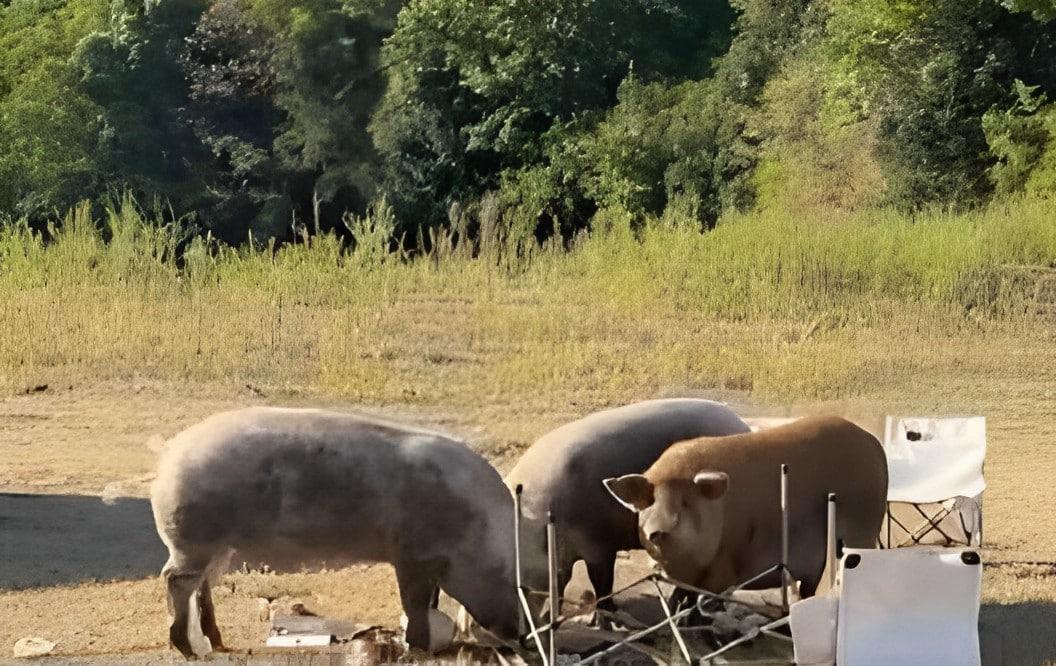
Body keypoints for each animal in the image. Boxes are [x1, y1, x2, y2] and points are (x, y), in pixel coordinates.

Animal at [151, 409, 521, 658]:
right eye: (512, 583)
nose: (520, 637)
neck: (473, 532)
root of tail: (170, 454)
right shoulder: (412, 555)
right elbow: (414, 603)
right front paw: (416, 648)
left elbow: (427, 601)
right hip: (192, 540)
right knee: (175, 579)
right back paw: (190, 651)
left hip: (217, 547)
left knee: (202, 585)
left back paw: (216, 643)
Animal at [604, 413, 891, 595]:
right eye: (650, 501)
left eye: (685, 502)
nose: (658, 530)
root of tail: (875, 444)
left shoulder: (723, 570)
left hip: (863, 528)